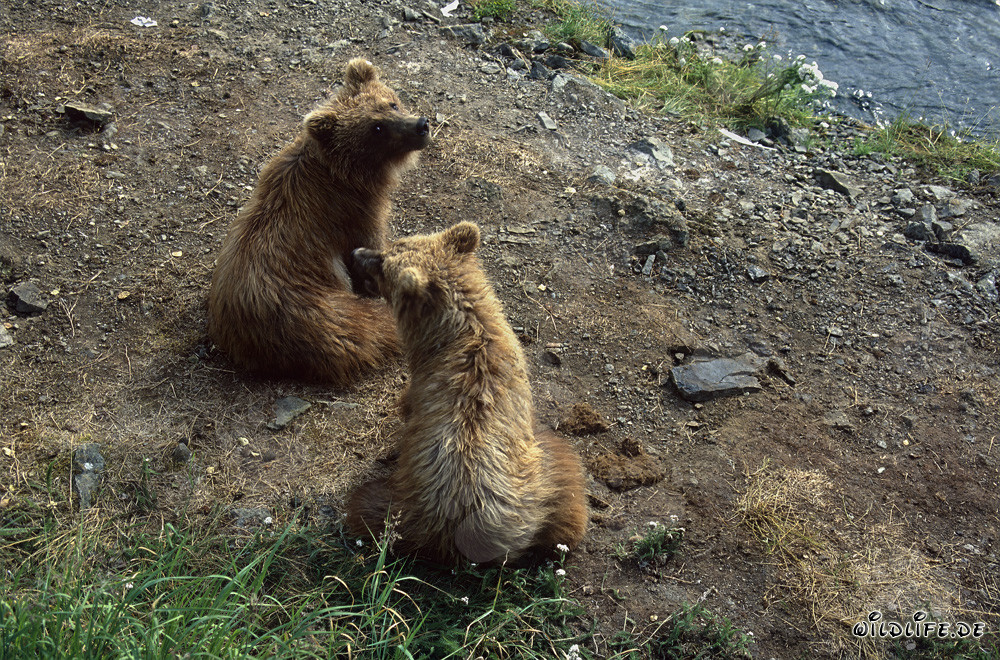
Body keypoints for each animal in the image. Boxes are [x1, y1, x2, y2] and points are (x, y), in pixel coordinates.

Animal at [207, 58, 430, 385]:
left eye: (391, 103)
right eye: (376, 128)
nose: (421, 125)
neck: (345, 173)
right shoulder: (354, 212)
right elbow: (368, 244)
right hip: (318, 310)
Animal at [345, 222, 588, 565]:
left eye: (384, 260)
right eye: (392, 247)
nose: (356, 252)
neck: (460, 330)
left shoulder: (421, 384)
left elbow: (406, 405)